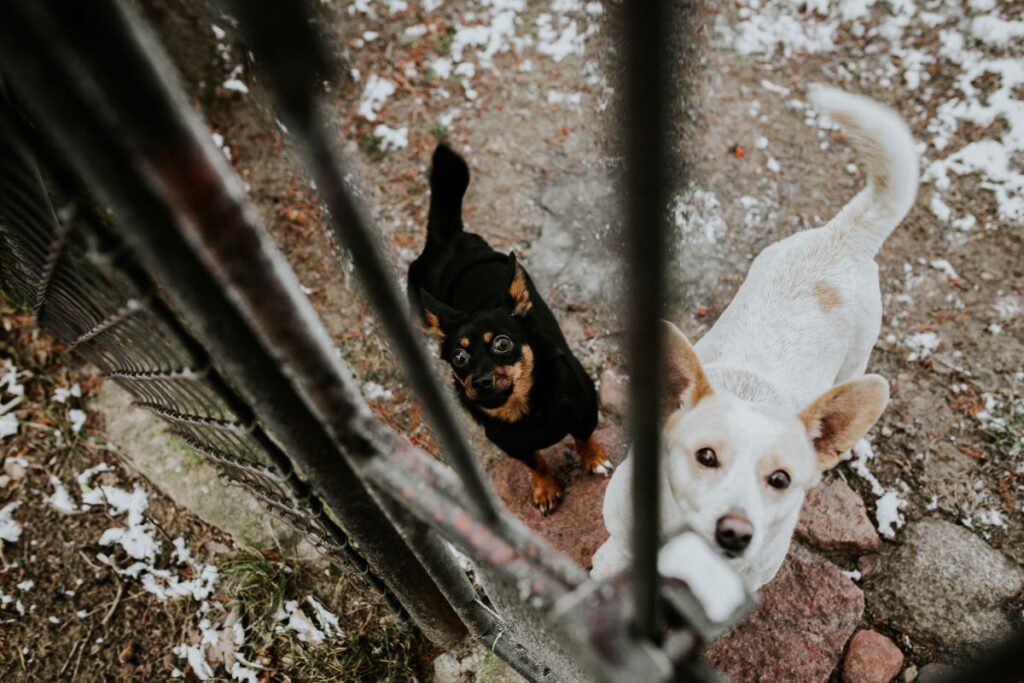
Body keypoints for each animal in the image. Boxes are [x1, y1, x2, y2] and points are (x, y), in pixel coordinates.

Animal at [405, 147, 606, 516]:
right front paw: (545, 488)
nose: (481, 381)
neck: (523, 411)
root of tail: (450, 240)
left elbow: (584, 438)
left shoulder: (586, 411)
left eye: (502, 343)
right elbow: (536, 463)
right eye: (458, 357)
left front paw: (594, 458)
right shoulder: (513, 446)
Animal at [593, 83, 921, 589]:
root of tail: (845, 236)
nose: (735, 533)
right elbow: (617, 550)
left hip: (857, 356)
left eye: (780, 480)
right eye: (706, 457)